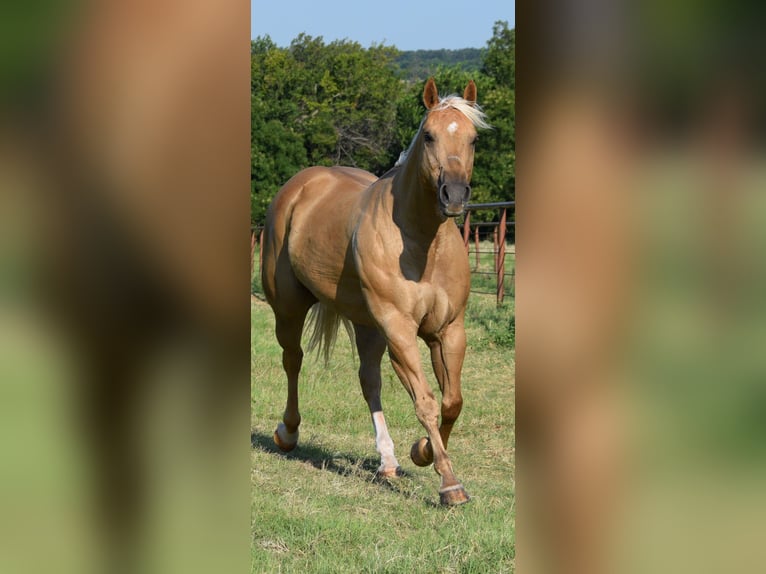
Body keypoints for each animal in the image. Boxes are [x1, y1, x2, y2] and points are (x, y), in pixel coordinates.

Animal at [261, 78, 490, 506]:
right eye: (429, 135)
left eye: (473, 138)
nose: (454, 195)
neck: (421, 244)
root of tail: (300, 186)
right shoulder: (400, 330)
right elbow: (427, 402)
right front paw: (449, 483)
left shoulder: (448, 331)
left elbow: (451, 401)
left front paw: (421, 451)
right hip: (289, 307)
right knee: (293, 361)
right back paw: (288, 433)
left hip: (367, 325)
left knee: (369, 380)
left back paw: (387, 461)